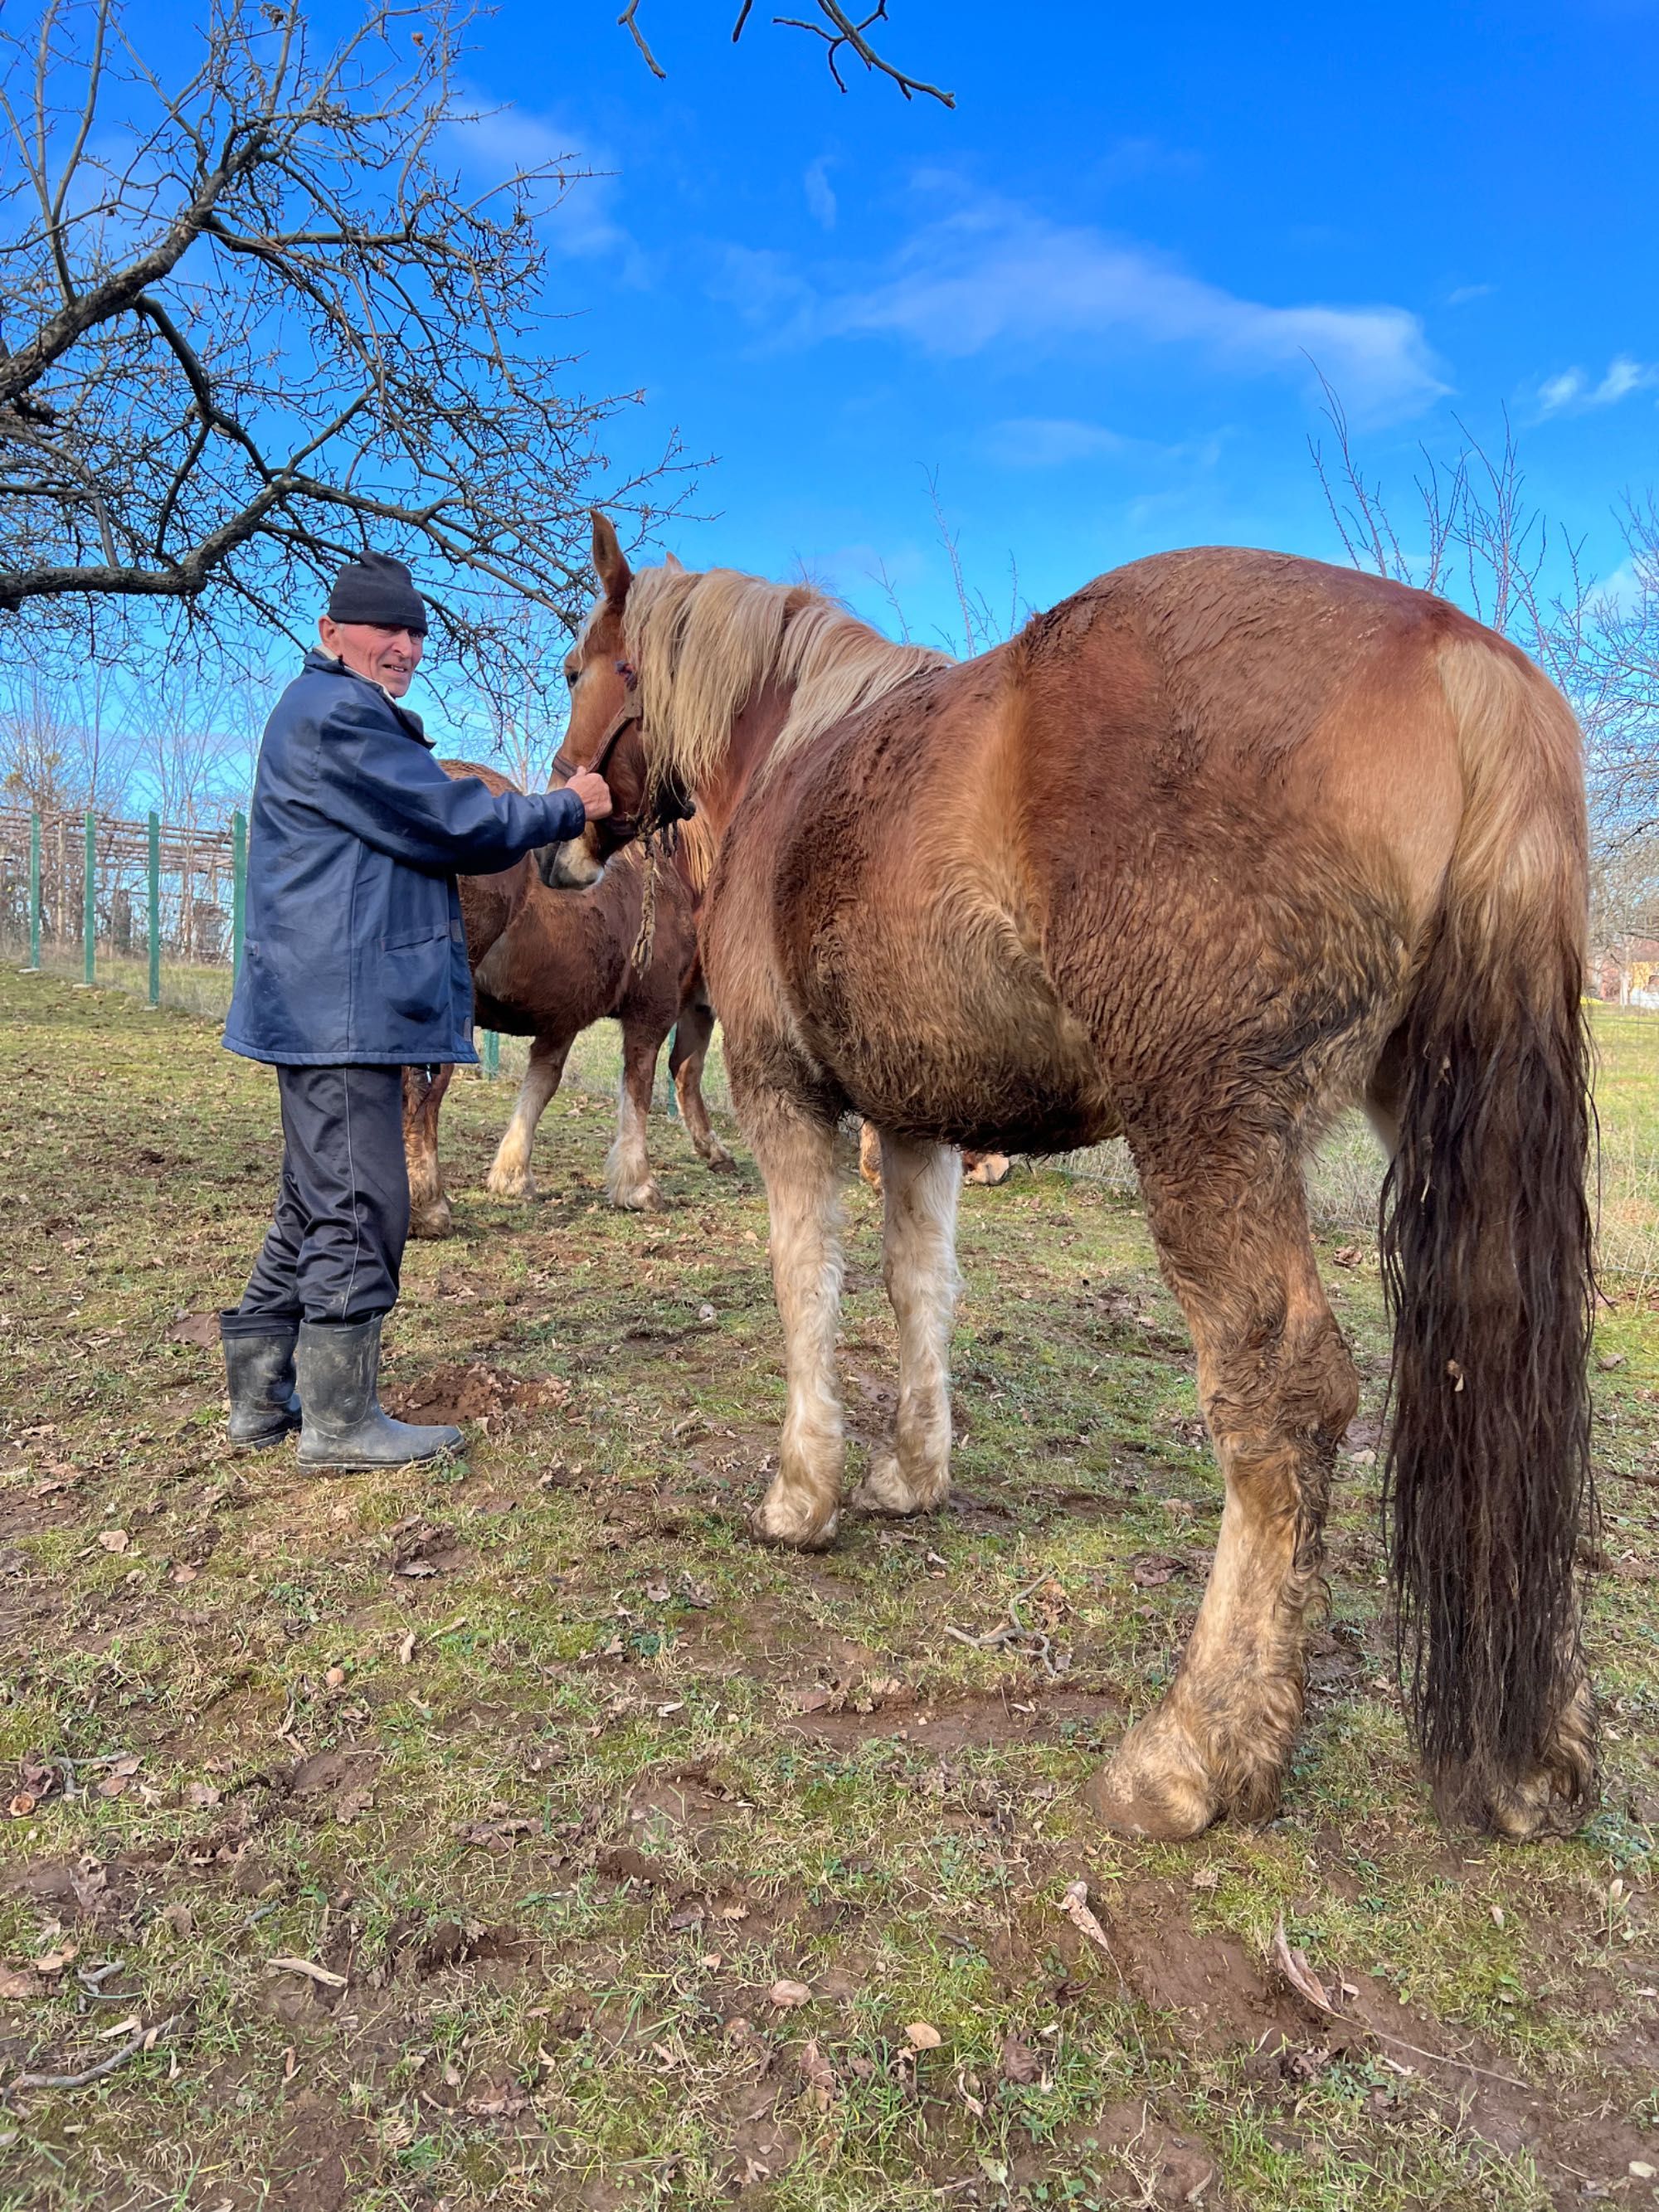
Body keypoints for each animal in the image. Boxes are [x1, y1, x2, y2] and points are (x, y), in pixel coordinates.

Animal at [400, 761, 730, 1238]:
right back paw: (427, 1206)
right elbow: (642, 1087)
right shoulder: (651, 1012)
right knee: (421, 1090)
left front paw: (512, 1176)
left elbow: (541, 1085)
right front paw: (639, 1186)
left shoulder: (563, 1019)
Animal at [566, 518, 1601, 1849]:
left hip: (1208, 1131)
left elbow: (809, 1288)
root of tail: (1459, 654)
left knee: (1285, 1403)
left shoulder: (785, 1092)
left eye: (582, 666)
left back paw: (1194, 1749)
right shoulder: (919, 1123)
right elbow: (918, 1289)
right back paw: (1533, 1753)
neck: (793, 752)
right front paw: (912, 1473)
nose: (568, 821)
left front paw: (804, 1493)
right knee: (1515, 1369)